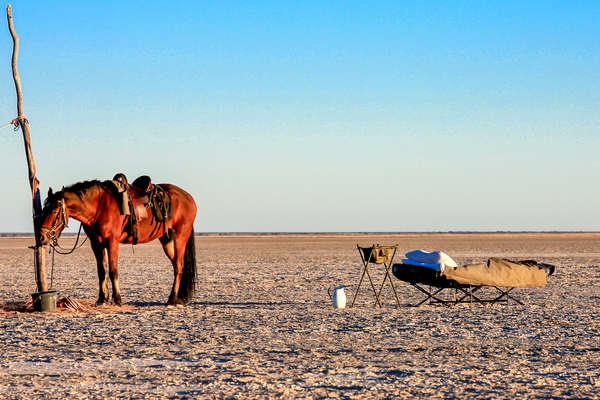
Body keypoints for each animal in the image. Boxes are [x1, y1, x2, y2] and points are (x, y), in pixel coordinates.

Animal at [37, 178, 197, 306]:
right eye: (43, 209)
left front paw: (117, 299)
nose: (42, 237)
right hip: (167, 239)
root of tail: (189, 198)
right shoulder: (96, 243)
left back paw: (172, 299)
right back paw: (178, 297)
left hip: (180, 237)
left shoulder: (112, 241)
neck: (100, 206)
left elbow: (113, 270)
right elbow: (102, 271)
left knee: (179, 266)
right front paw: (102, 299)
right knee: (176, 265)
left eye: (54, 210)